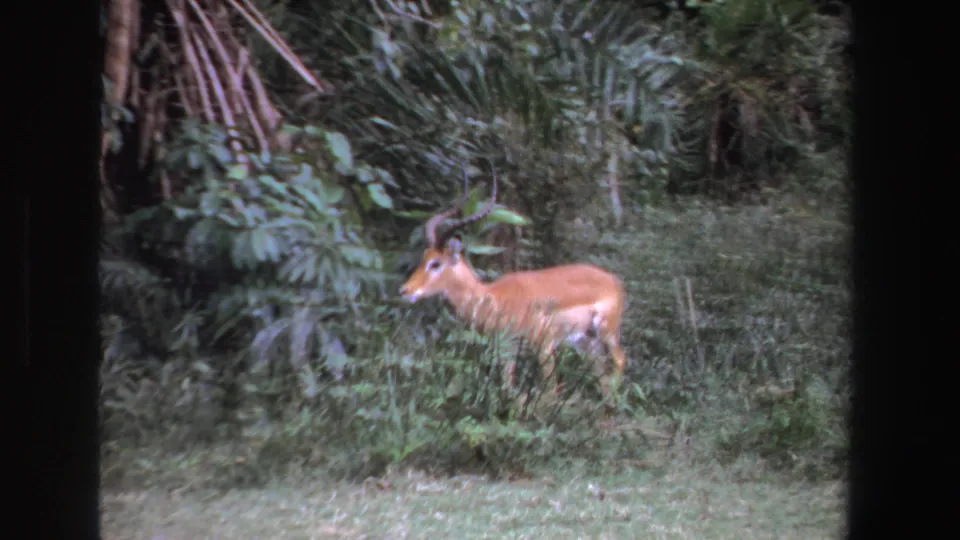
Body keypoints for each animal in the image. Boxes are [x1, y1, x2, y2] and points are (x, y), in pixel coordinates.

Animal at [399, 165, 628, 401]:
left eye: (436, 263)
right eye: (424, 257)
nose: (405, 290)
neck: (493, 298)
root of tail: (613, 280)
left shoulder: (544, 345)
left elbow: (550, 392)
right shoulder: (506, 349)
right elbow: (510, 390)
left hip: (606, 331)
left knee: (620, 360)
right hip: (585, 341)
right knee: (601, 369)